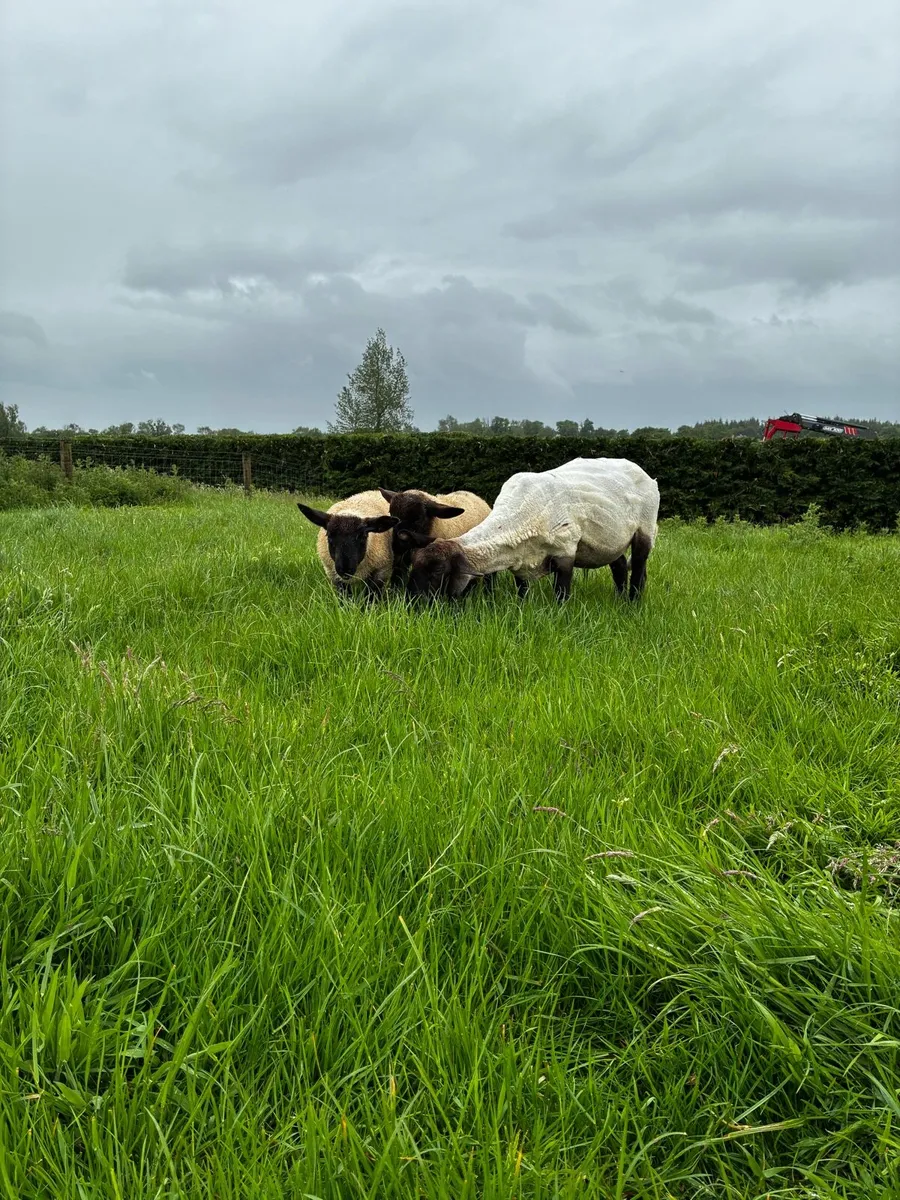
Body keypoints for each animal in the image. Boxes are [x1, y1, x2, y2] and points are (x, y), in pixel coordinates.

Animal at [405, 457, 659, 603]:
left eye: (438, 572)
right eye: (413, 565)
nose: (412, 605)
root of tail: (644, 473)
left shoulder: (566, 551)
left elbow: (561, 594)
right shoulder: (520, 559)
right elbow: (522, 590)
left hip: (644, 530)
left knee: (638, 570)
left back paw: (632, 605)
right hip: (609, 542)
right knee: (619, 567)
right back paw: (619, 600)